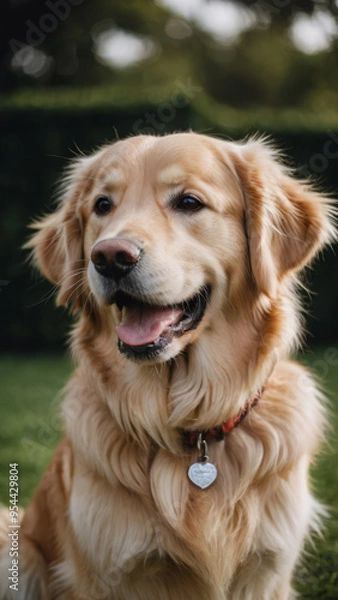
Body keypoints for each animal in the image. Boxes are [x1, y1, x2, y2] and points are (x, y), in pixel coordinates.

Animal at [0, 132, 336, 600]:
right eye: (102, 206)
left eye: (189, 202)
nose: (110, 256)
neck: (190, 427)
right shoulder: (107, 573)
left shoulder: (266, 572)